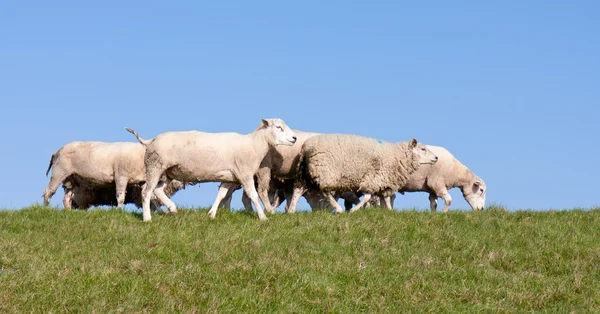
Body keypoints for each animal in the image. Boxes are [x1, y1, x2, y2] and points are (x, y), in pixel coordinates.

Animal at [127, 116, 298, 222]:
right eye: (279, 127)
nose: (294, 138)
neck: (253, 145)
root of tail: (151, 140)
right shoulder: (244, 174)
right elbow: (254, 196)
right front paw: (263, 217)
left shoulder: (230, 178)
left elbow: (220, 195)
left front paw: (211, 214)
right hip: (155, 166)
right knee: (146, 191)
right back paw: (147, 218)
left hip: (167, 172)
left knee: (157, 190)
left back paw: (172, 208)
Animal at [288, 134, 438, 213]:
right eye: (423, 149)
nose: (436, 158)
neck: (396, 155)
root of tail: (306, 147)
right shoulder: (373, 179)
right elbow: (367, 197)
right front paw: (355, 210)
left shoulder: (384, 182)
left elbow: (386, 198)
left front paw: (390, 212)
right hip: (326, 172)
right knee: (326, 192)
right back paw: (339, 209)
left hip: (306, 173)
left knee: (297, 190)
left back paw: (291, 211)